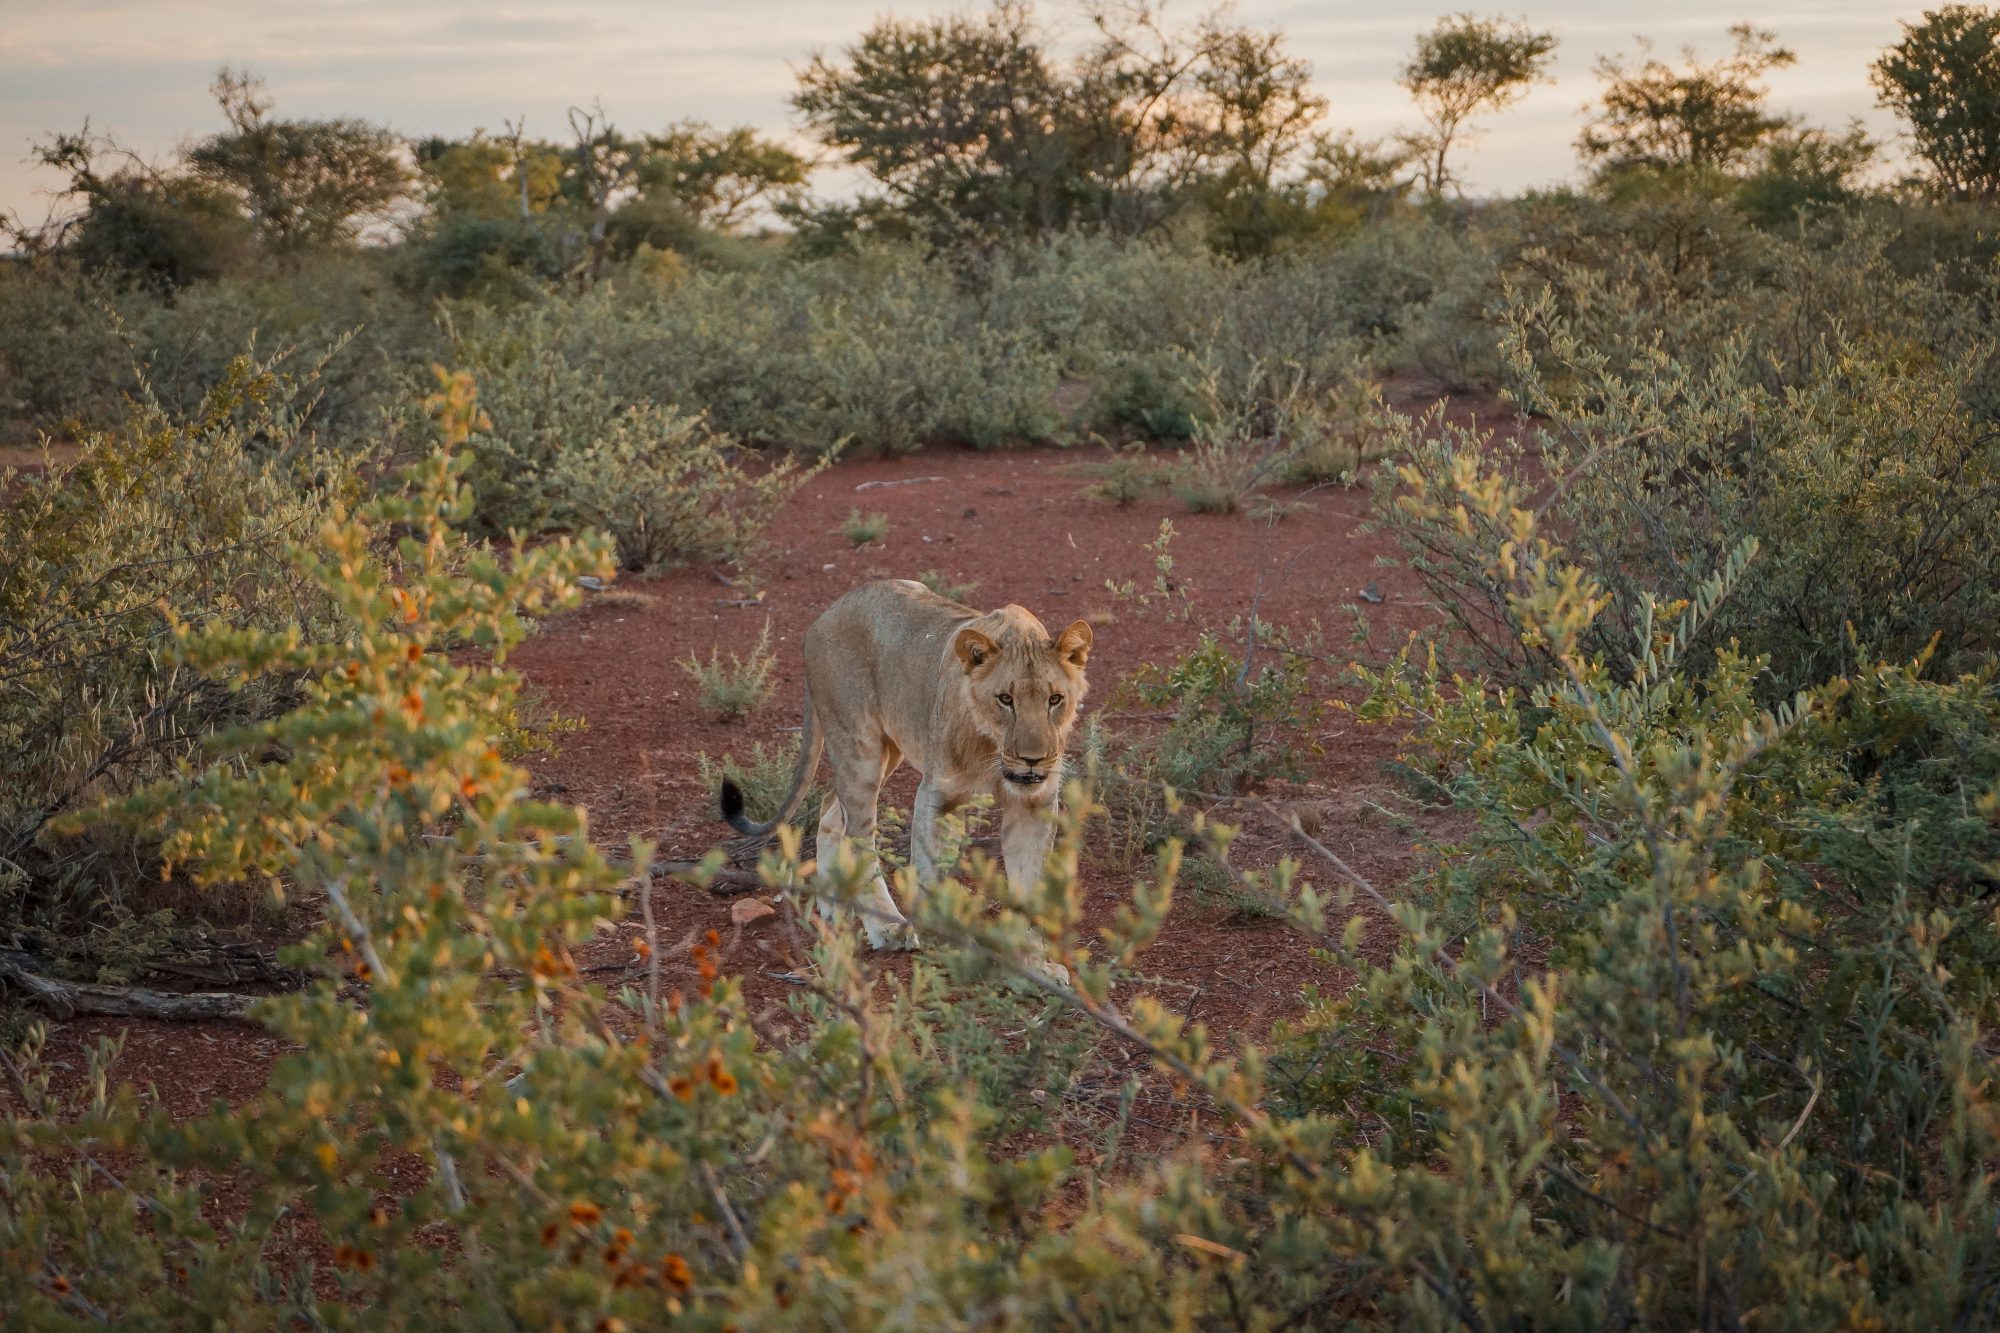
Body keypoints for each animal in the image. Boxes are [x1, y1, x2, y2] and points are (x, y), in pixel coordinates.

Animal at [720, 580, 1096, 976]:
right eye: (1005, 699)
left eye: (1055, 699)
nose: (1032, 760)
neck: (991, 748)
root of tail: (826, 615)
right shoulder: (938, 793)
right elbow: (930, 873)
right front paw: (940, 939)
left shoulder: (1035, 801)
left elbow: (1030, 882)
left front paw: (1035, 964)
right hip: (860, 748)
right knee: (858, 834)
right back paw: (886, 926)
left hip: (888, 751)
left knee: (829, 808)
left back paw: (832, 904)